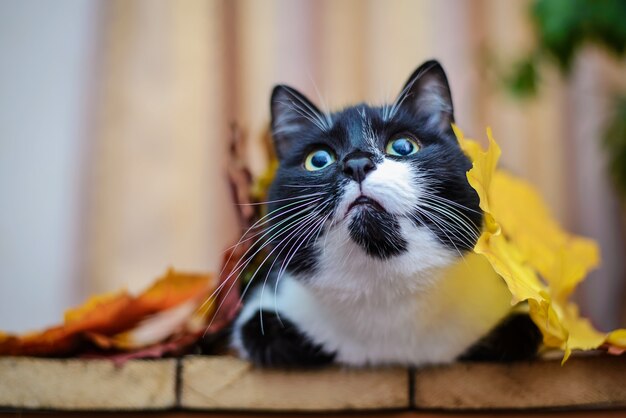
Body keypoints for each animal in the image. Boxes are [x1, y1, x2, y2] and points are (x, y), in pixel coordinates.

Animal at [227, 60, 540, 368]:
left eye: (402, 146)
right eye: (318, 159)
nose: (356, 163)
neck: (384, 290)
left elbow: (523, 330)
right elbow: (262, 332)